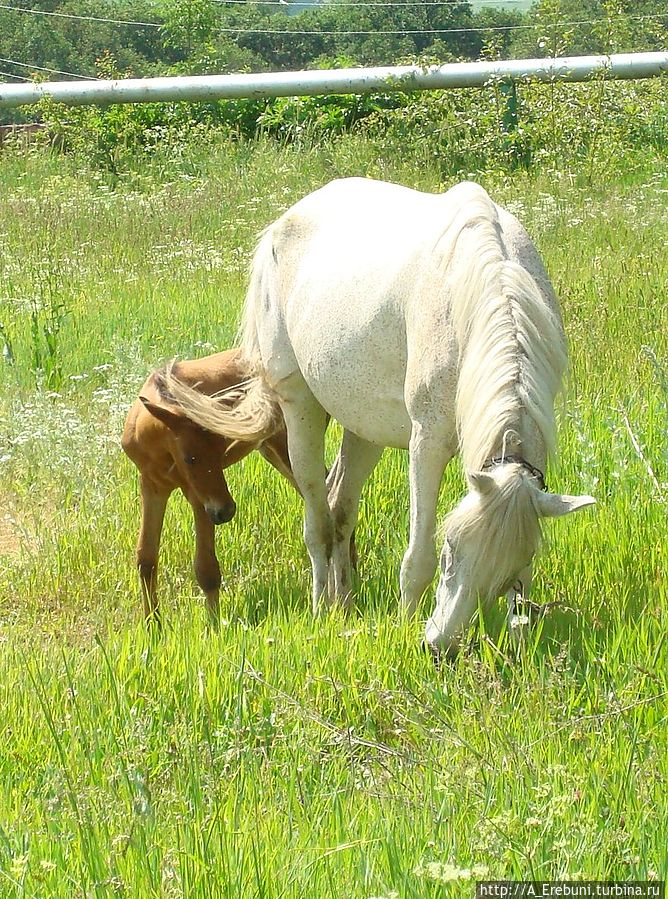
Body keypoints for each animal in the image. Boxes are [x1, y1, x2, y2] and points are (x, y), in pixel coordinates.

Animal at [167, 178, 596, 652]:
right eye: (450, 548)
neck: (481, 285)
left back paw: (344, 603)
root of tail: (282, 225)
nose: (440, 647)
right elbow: (417, 557)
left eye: (504, 574)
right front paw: (407, 625)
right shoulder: (427, 442)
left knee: (339, 504)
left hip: (364, 427)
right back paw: (322, 609)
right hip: (301, 409)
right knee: (317, 520)